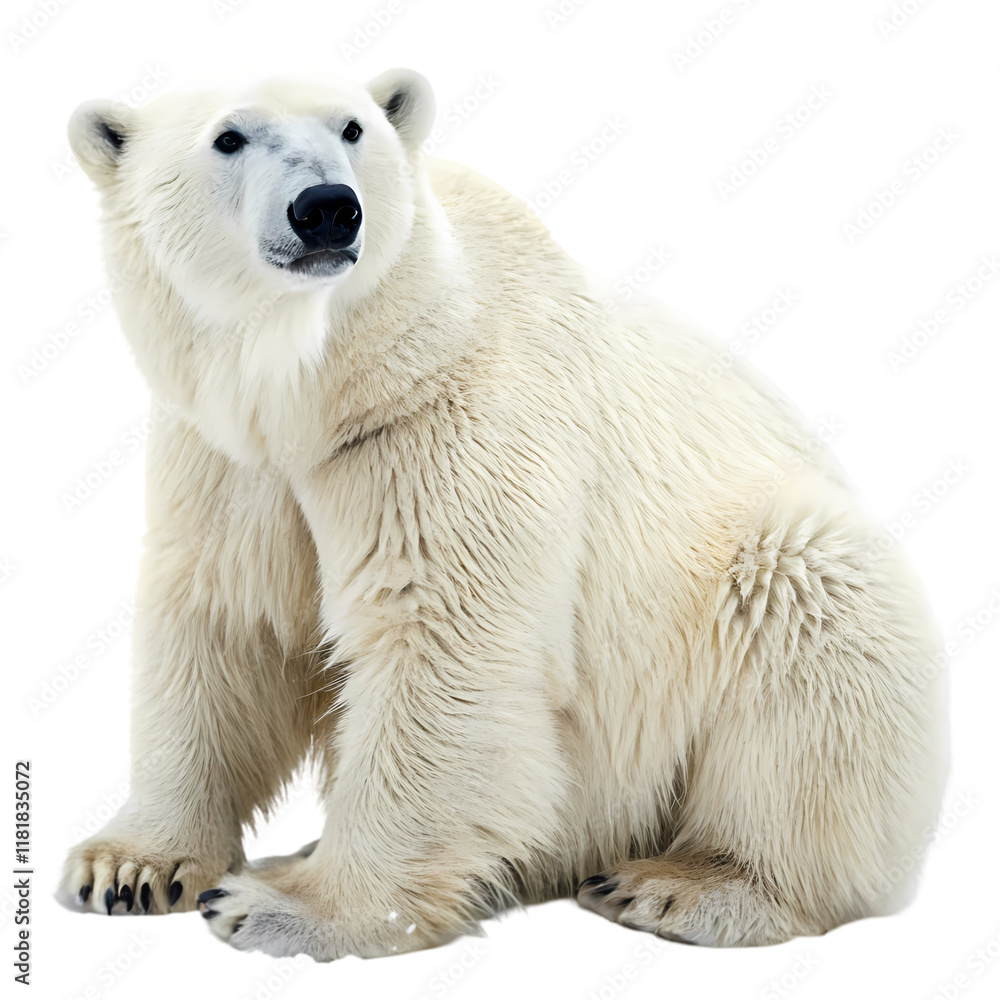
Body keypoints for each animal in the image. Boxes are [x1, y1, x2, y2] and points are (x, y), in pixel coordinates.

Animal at [58, 68, 947, 960]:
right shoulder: (226, 461)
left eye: (352, 128)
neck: (328, 392)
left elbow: (443, 644)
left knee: (807, 619)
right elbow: (219, 627)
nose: (327, 208)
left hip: (775, 570)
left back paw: (684, 883)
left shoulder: (445, 421)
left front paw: (290, 907)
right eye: (229, 137)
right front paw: (126, 868)